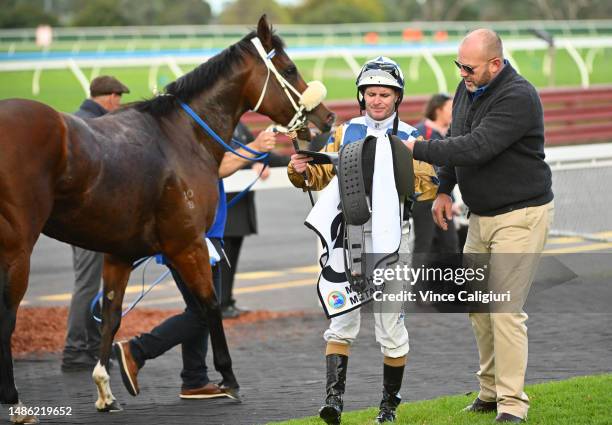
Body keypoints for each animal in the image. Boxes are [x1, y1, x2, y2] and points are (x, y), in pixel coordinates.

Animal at [0, 14, 334, 422]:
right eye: (289, 69)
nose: (326, 118)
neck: (181, 136)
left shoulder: (120, 253)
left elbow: (111, 313)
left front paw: (106, 390)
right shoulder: (187, 243)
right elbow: (209, 304)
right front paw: (228, 377)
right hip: (18, 249)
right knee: (6, 319)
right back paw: (16, 404)